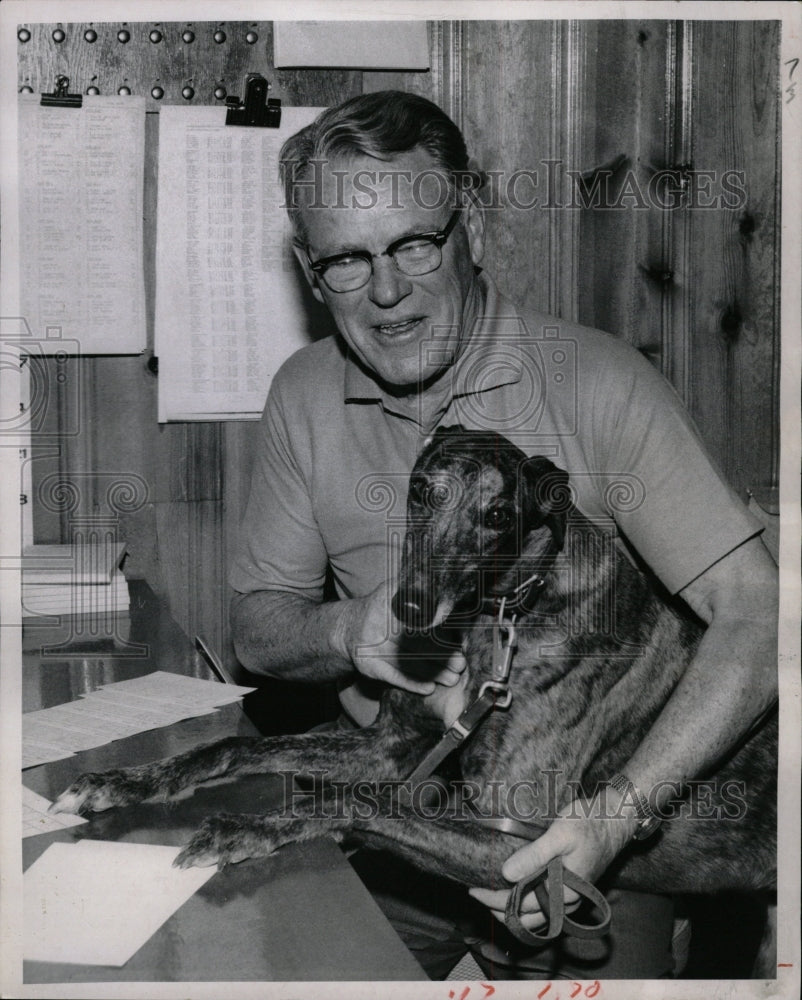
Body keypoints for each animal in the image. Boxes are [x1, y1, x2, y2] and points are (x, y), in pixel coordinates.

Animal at [51, 424, 776, 916]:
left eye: (497, 515)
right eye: (423, 491)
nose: (411, 608)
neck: (511, 611)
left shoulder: (517, 846)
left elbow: (358, 804)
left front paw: (247, 827)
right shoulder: (389, 746)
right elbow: (233, 745)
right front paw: (125, 780)